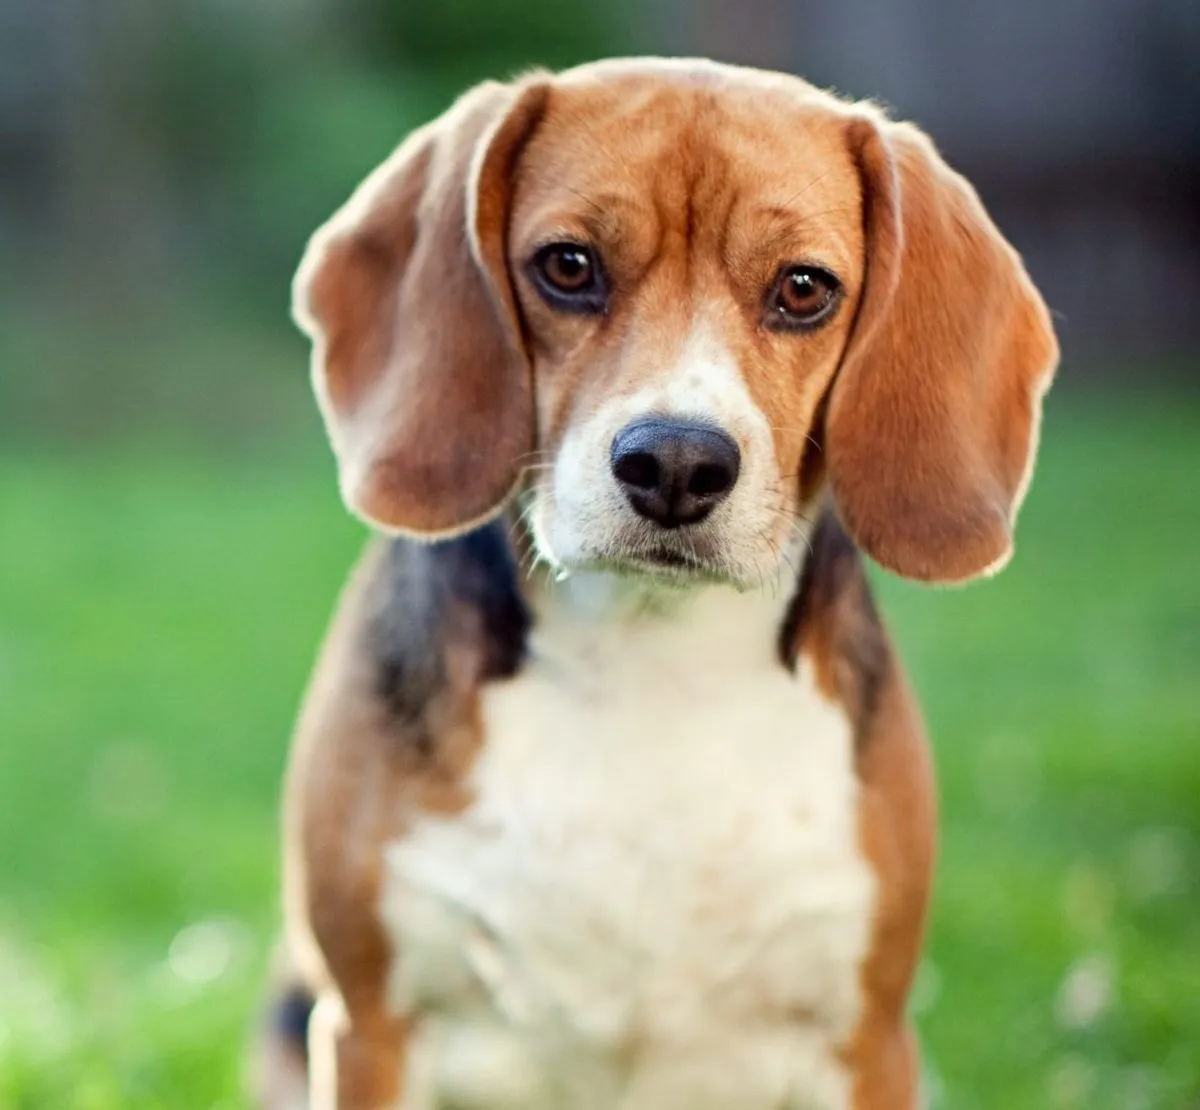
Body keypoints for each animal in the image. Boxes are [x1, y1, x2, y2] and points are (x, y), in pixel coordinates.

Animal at [262, 56, 1060, 1108]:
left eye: (804, 288)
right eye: (568, 266)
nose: (677, 464)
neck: (654, 661)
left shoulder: (868, 1041)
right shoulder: (369, 1032)